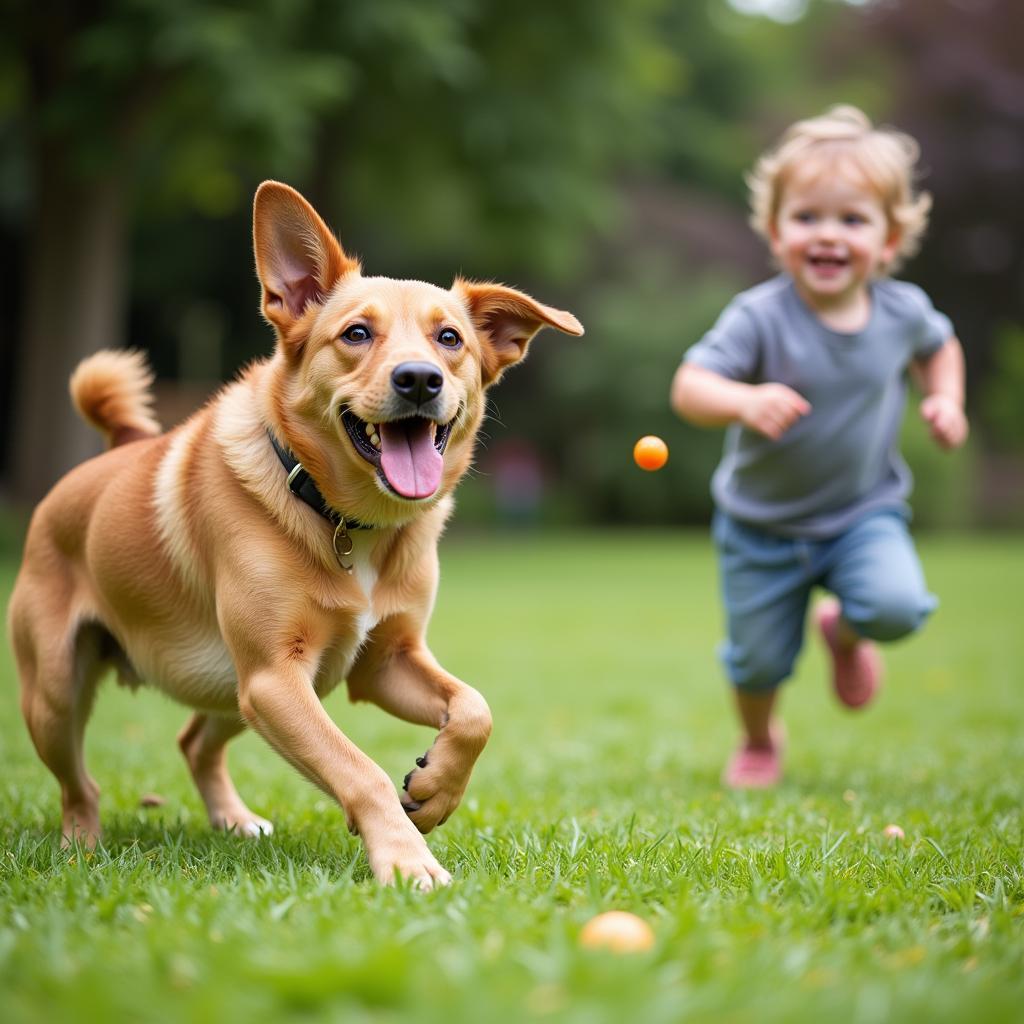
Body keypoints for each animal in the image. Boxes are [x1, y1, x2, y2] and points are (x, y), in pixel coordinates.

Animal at [6, 184, 585, 888]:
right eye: (356, 333)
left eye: (450, 338)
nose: (419, 379)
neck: (349, 522)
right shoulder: (276, 679)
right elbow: (358, 769)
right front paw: (406, 861)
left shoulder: (380, 663)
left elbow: (476, 709)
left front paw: (433, 793)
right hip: (60, 694)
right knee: (80, 784)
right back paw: (81, 846)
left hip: (229, 692)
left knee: (193, 743)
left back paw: (234, 821)